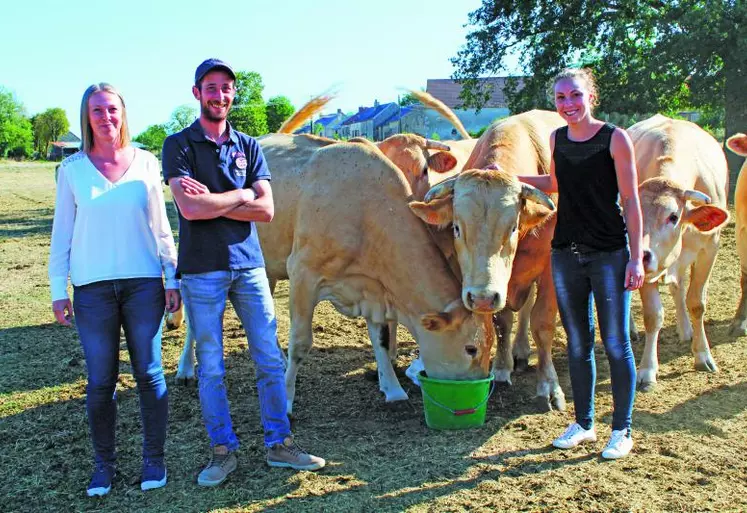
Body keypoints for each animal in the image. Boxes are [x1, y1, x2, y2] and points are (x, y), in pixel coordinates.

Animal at [632, 114, 732, 390]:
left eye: (673, 216)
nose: (641, 254)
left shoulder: (709, 249)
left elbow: (696, 303)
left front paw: (703, 355)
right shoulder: (649, 268)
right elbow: (653, 316)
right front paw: (647, 369)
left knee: (680, 290)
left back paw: (687, 331)